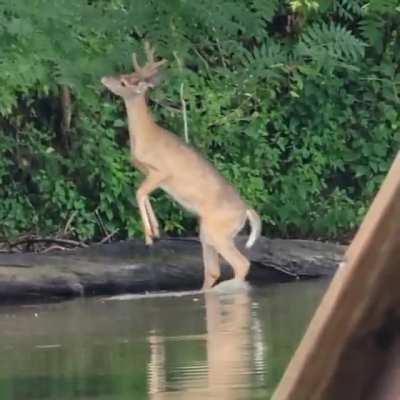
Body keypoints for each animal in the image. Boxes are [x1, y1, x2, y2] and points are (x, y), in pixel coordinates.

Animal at [101, 42, 262, 290]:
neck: (146, 136)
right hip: (207, 232)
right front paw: (156, 231)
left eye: (125, 82)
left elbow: (139, 192)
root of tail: (246, 212)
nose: (104, 78)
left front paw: (149, 236)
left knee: (241, 264)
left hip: (218, 231)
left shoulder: (162, 171)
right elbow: (143, 193)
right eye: (124, 74)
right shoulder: (148, 173)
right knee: (213, 270)